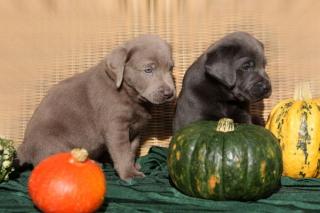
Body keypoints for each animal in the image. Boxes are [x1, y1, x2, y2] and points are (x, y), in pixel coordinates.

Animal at [17, 35, 176, 180]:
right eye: (148, 70)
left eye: (170, 69)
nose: (169, 93)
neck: (128, 93)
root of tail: (24, 149)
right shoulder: (115, 127)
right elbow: (122, 152)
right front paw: (129, 174)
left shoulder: (136, 129)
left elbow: (131, 150)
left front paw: (133, 166)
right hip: (54, 144)